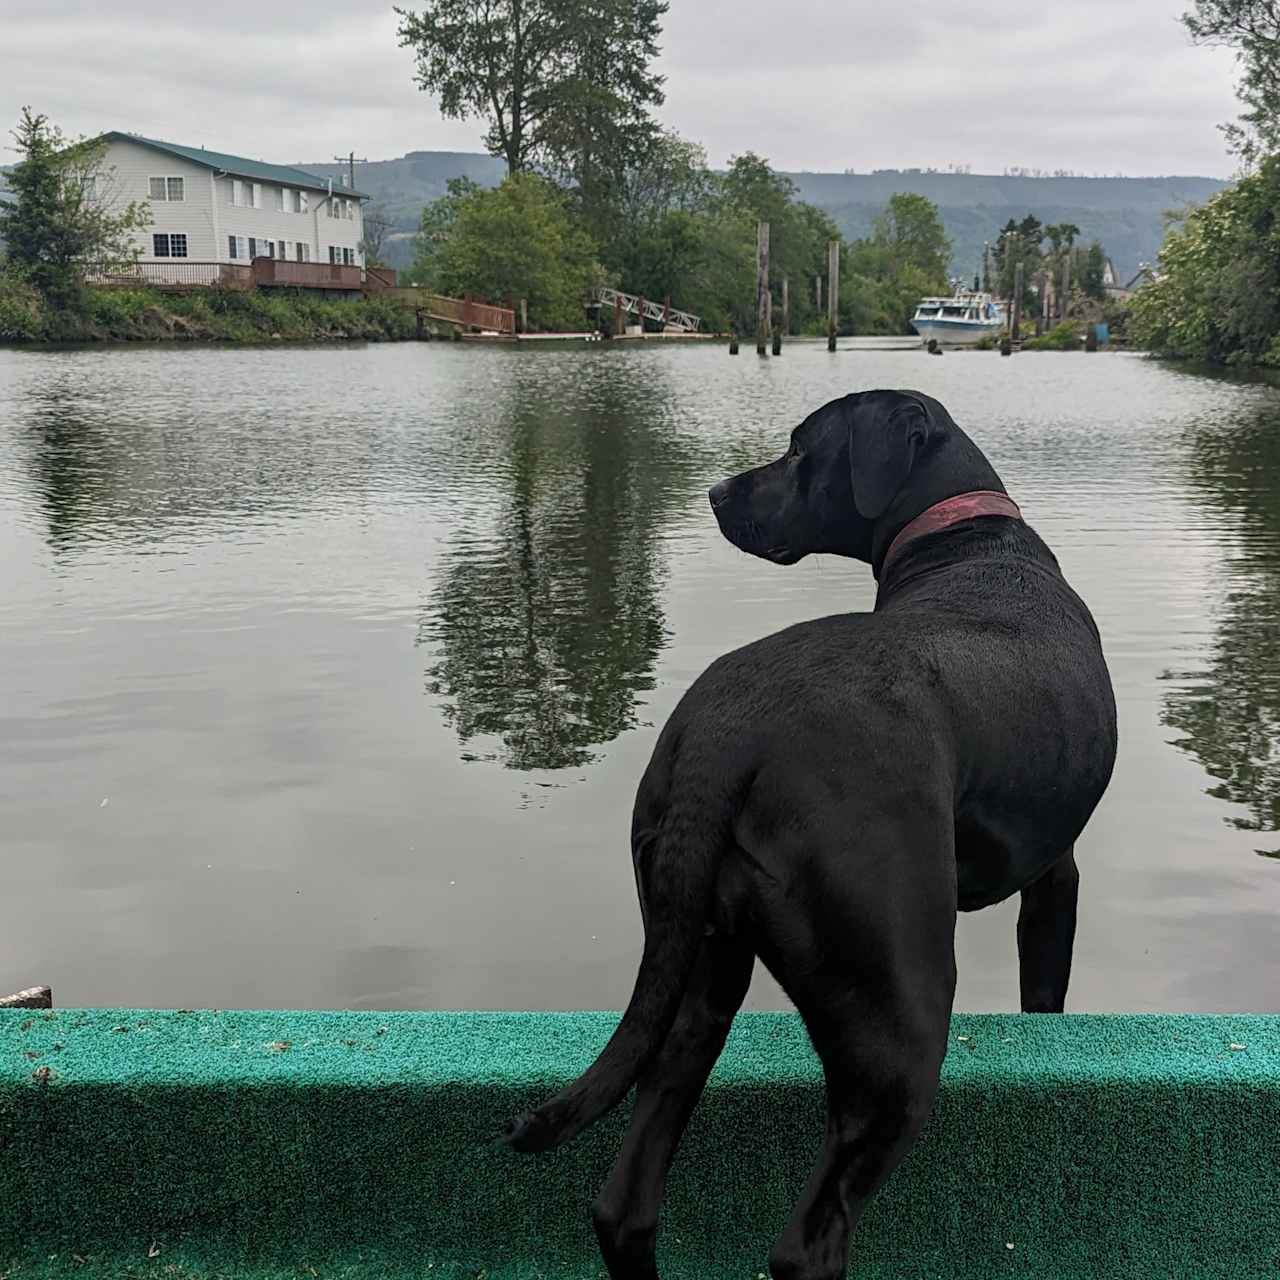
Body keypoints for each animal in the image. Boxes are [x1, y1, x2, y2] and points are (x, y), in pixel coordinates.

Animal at [504, 389, 1116, 1280]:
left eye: (801, 452)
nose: (716, 492)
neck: (965, 539)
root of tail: (726, 733)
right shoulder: (1055, 874)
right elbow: (1046, 990)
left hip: (697, 970)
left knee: (624, 1206)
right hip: (897, 1019)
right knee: (808, 1242)